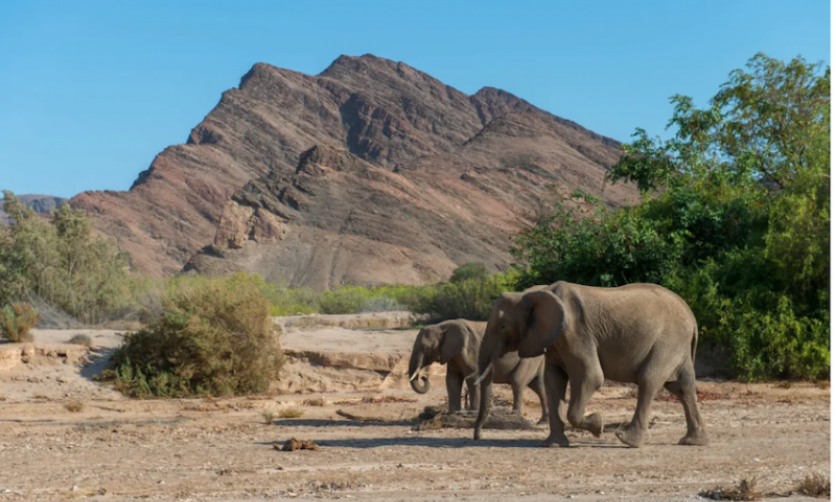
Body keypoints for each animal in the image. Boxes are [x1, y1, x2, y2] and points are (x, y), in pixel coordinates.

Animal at [406, 318, 548, 420]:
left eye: (424, 348)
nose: (423, 377)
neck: (441, 326)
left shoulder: (471, 350)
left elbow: (472, 378)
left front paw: (472, 413)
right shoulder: (452, 353)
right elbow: (452, 380)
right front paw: (454, 413)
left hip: (528, 358)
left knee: (517, 382)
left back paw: (515, 415)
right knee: (539, 386)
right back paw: (542, 422)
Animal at [474, 280, 708, 450]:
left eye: (502, 326)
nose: (477, 437)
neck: (537, 292)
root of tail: (693, 318)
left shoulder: (575, 333)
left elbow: (591, 377)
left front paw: (598, 425)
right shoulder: (555, 339)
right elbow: (553, 382)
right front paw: (553, 445)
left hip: (667, 341)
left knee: (649, 380)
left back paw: (627, 439)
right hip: (677, 346)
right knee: (682, 387)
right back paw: (692, 442)